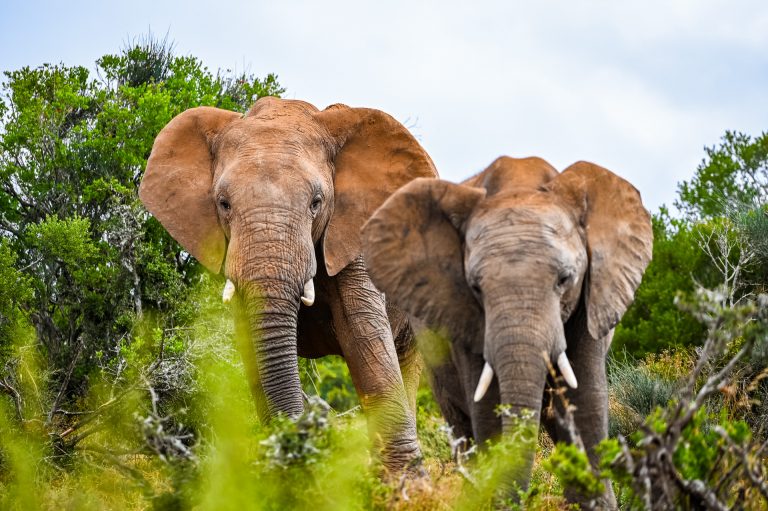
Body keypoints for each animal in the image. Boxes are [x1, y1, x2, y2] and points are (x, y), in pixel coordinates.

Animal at [139, 97, 438, 471]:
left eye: (316, 203)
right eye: (224, 204)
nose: (314, 420)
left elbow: (365, 341)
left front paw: (405, 483)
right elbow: (253, 350)